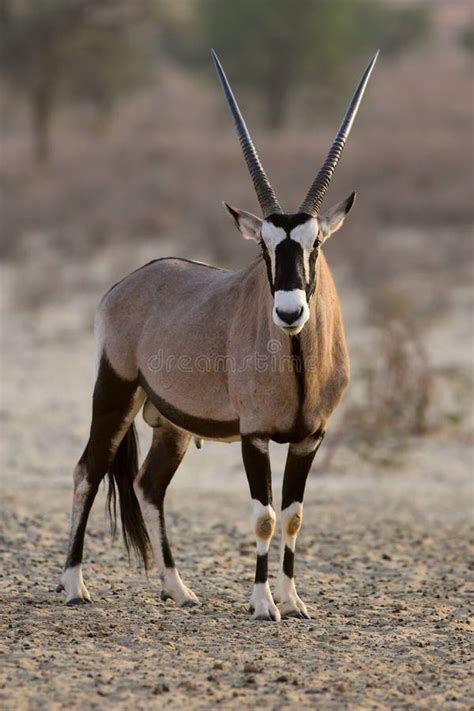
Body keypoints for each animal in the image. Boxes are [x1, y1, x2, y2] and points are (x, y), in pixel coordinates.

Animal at [58, 50, 378, 620]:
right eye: (264, 247)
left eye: (315, 243)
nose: (289, 311)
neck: (297, 362)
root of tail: (126, 283)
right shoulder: (255, 436)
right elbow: (265, 516)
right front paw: (263, 603)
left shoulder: (310, 438)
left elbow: (293, 516)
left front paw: (293, 600)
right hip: (115, 393)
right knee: (88, 472)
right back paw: (74, 584)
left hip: (171, 426)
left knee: (149, 486)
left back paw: (177, 587)